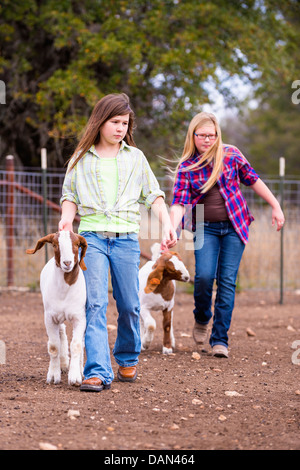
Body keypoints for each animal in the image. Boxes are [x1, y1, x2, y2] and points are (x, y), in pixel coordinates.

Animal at [26, 230, 87, 386]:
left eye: (77, 244)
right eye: (54, 244)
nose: (67, 263)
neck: (64, 291)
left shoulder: (79, 317)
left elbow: (77, 345)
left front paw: (75, 377)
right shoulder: (50, 317)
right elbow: (53, 346)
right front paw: (54, 375)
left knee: (81, 341)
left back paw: (80, 369)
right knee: (62, 331)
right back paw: (64, 363)